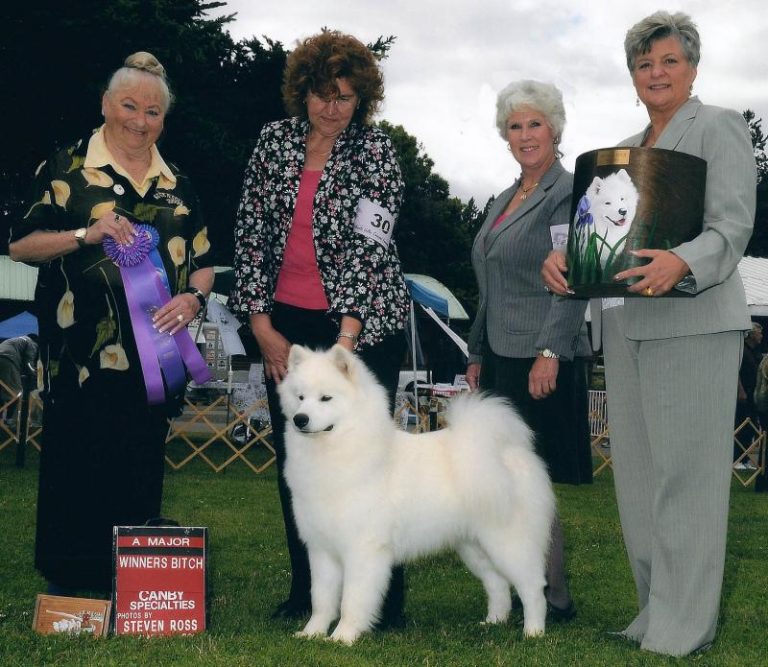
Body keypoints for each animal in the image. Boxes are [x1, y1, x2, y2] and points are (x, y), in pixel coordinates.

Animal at [280, 348, 556, 644]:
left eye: (326, 398)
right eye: (300, 398)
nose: (300, 419)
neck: (337, 450)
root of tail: (509, 450)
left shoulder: (362, 549)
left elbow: (352, 600)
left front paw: (343, 636)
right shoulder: (321, 549)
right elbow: (321, 598)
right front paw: (312, 633)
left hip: (508, 542)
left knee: (533, 587)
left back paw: (534, 631)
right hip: (474, 546)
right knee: (497, 582)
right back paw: (493, 621)